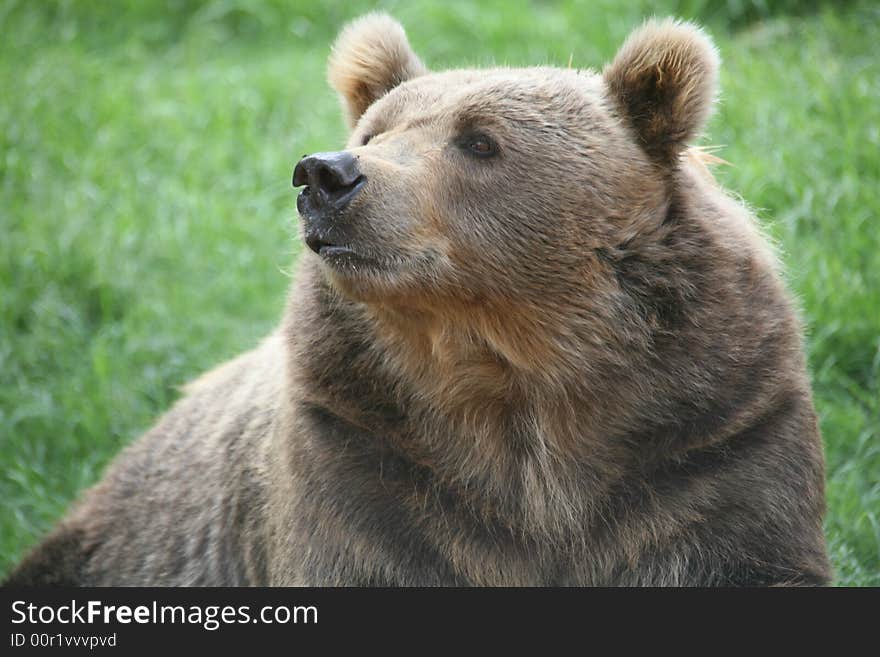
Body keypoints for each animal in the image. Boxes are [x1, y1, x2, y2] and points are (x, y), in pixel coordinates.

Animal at [8, 14, 832, 584]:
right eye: (376, 131)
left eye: (479, 140)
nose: (326, 174)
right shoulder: (368, 459)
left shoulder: (711, 441)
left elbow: (744, 543)